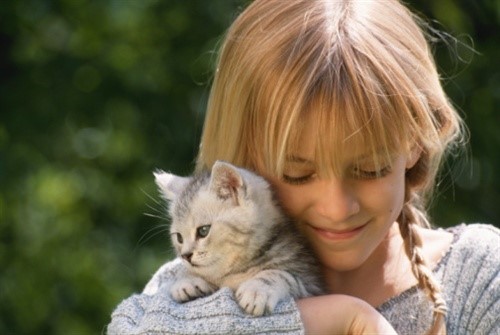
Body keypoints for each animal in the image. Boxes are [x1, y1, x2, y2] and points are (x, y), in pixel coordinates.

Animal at [153, 161, 324, 316]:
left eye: (203, 231)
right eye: (179, 238)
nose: (186, 256)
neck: (237, 270)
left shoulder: (311, 285)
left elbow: (281, 275)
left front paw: (257, 290)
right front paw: (186, 280)